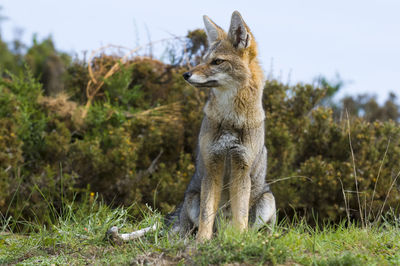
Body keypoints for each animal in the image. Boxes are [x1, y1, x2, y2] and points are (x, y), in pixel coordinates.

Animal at [106, 9, 276, 243]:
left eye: (217, 61)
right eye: (204, 60)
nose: (185, 74)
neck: (231, 119)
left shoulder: (241, 167)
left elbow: (240, 215)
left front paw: (238, 240)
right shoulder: (212, 165)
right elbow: (207, 214)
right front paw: (202, 242)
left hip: (267, 201)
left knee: (255, 228)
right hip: (193, 199)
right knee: (186, 231)